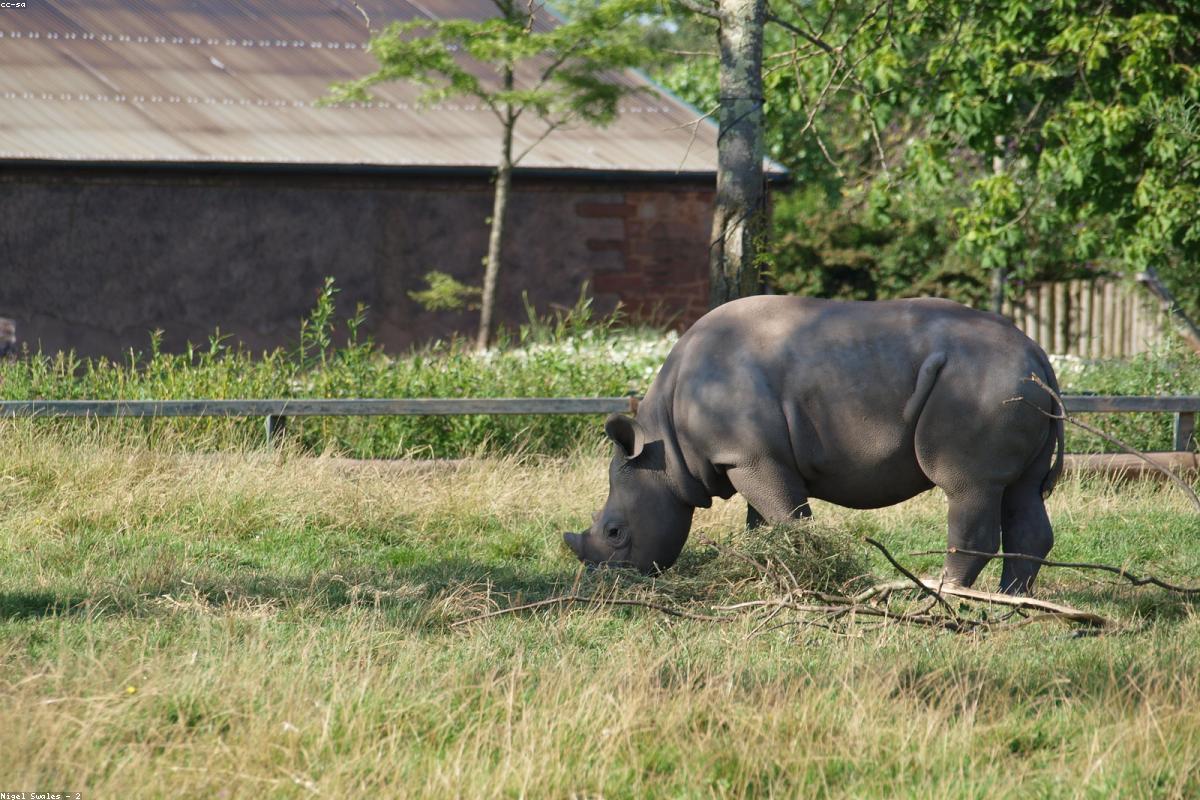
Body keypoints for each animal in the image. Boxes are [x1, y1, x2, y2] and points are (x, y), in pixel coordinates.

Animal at [563, 295, 1064, 594]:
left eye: (615, 532)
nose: (601, 584)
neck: (663, 446)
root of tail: (1038, 353)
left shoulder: (749, 456)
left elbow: (788, 517)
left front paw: (802, 577)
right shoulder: (754, 457)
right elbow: (764, 522)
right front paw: (766, 571)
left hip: (980, 384)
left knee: (969, 487)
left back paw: (942, 594)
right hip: (1016, 383)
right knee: (1022, 492)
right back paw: (1011, 602)